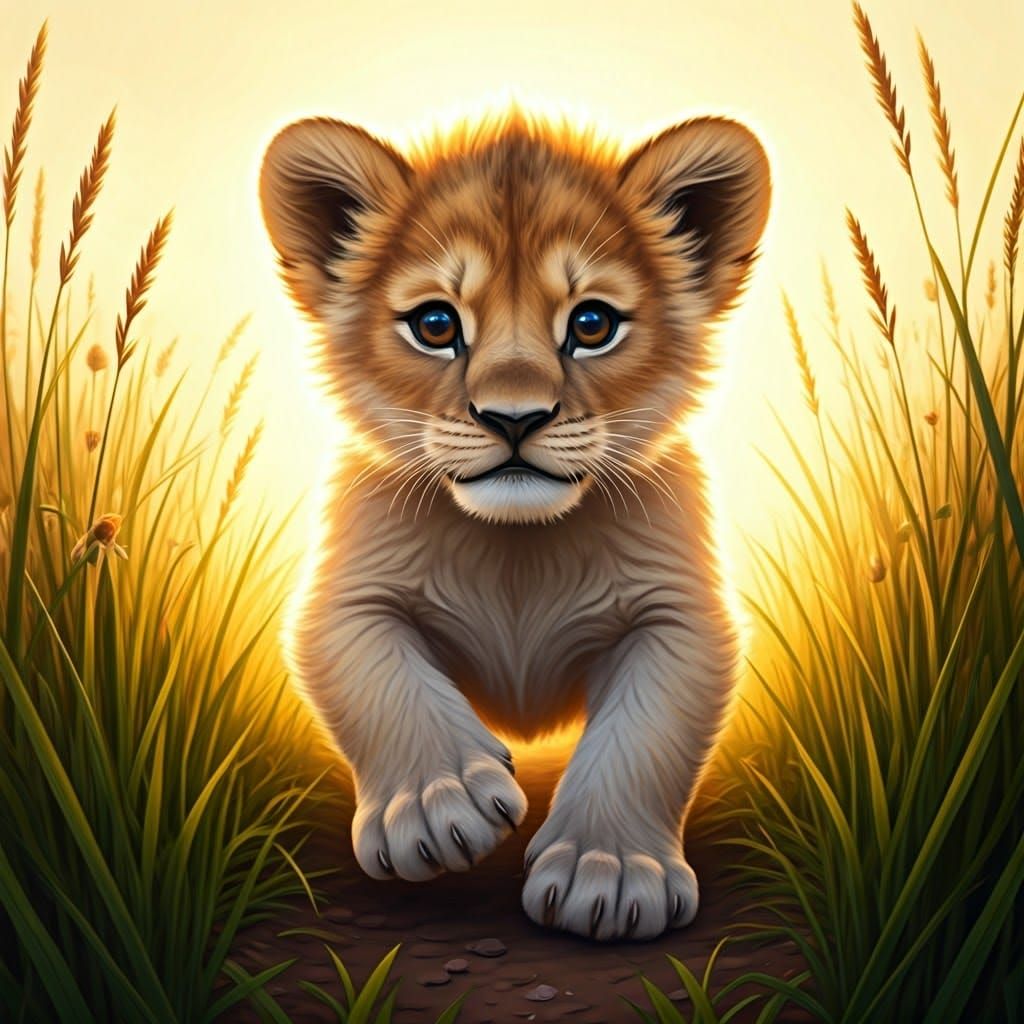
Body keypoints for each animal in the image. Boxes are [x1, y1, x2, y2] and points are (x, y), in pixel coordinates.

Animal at [259, 109, 770, 940]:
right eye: (436, 324)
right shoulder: (346, 597)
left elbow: (645, 735)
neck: (517, 547)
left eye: (592, 324)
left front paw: (611, 873)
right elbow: (378, 679)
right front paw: (438, 805)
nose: (514, 418)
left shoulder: (680, 616)